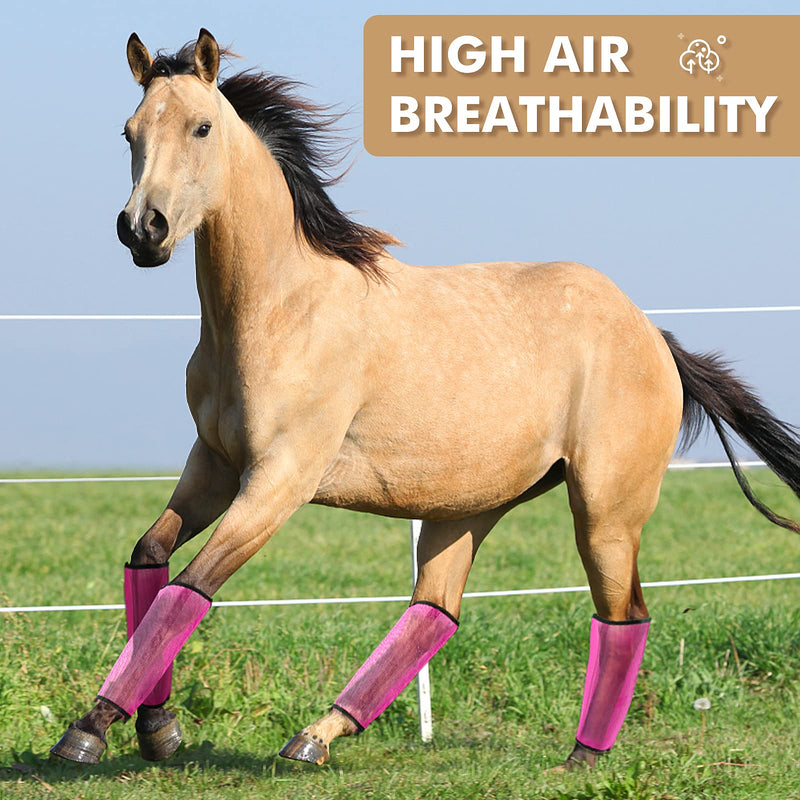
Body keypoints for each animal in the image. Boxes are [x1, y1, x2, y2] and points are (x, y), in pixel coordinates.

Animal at [51, 29, 800, 770]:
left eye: (202, 127)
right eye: (130, 132)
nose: (143, 229)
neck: (278, 310)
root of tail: (652, 334)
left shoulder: (279, 482)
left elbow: (190, 588)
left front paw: (91, 729)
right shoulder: (212, 466)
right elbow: (151, 559)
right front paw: (156, 726)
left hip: (605, 510)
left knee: (624, 616)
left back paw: (582, 759)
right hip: (468, 508)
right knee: (436, 612)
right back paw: (317, 736)